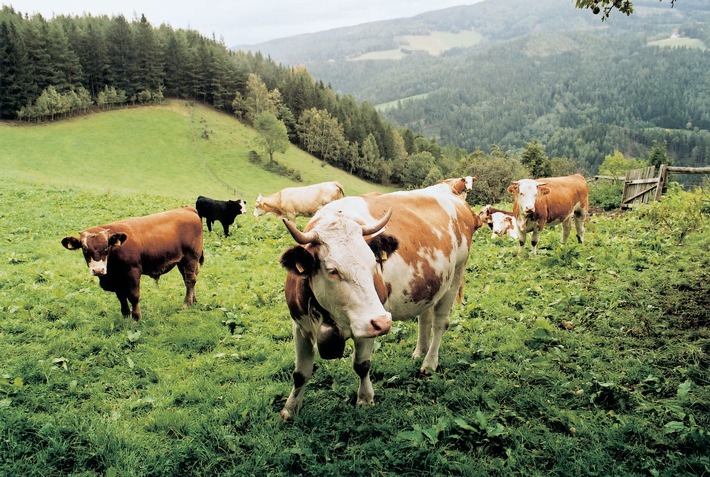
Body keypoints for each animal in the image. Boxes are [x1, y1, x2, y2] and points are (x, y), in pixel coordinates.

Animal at [59, 205, 204, 320]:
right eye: (85, 249)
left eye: (106, 248)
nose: (98, 270)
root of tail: (187, 208)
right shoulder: (117, 280)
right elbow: (121, 297)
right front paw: (125, 315)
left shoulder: (133, 272)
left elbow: (133, 296)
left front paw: (136, 317)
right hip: (181, 261)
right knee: (188, 279)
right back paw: (193, 300)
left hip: (191, 257)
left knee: (190, 280)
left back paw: (186, 303)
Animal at [276, 180, 482, 418]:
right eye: (332, 270)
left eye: (373, 263)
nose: (383, 322)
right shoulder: (299, 326)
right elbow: (300, 373)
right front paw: (290, 409)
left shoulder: (369, 324)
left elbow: (362, 365)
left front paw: (365, 399)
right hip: (429, 285)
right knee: (425, 317)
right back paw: (419, 351)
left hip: (456, 275)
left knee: (440, 323)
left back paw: (429, 362)